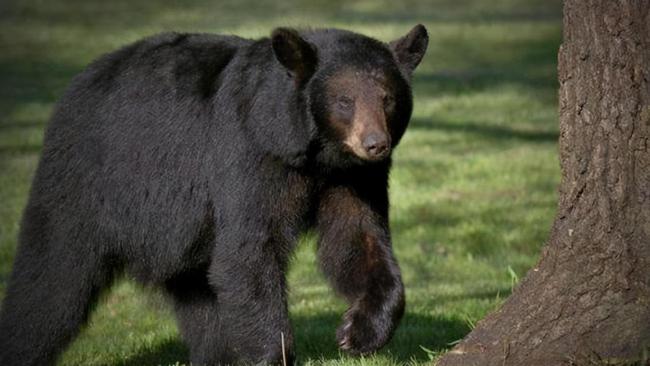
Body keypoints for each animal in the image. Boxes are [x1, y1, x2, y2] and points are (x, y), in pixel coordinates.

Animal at [0, 24, 428, 364]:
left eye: (387, 98)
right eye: (344, 100)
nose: (375, 144)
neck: (311, 150)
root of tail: (76, 85)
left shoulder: (352, 177)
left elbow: (357, 238)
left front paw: (358, 332)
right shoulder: (247, 156)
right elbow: (248, 250)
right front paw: (275, 354)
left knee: (200, 296)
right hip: (85, 184)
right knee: (52, 278)